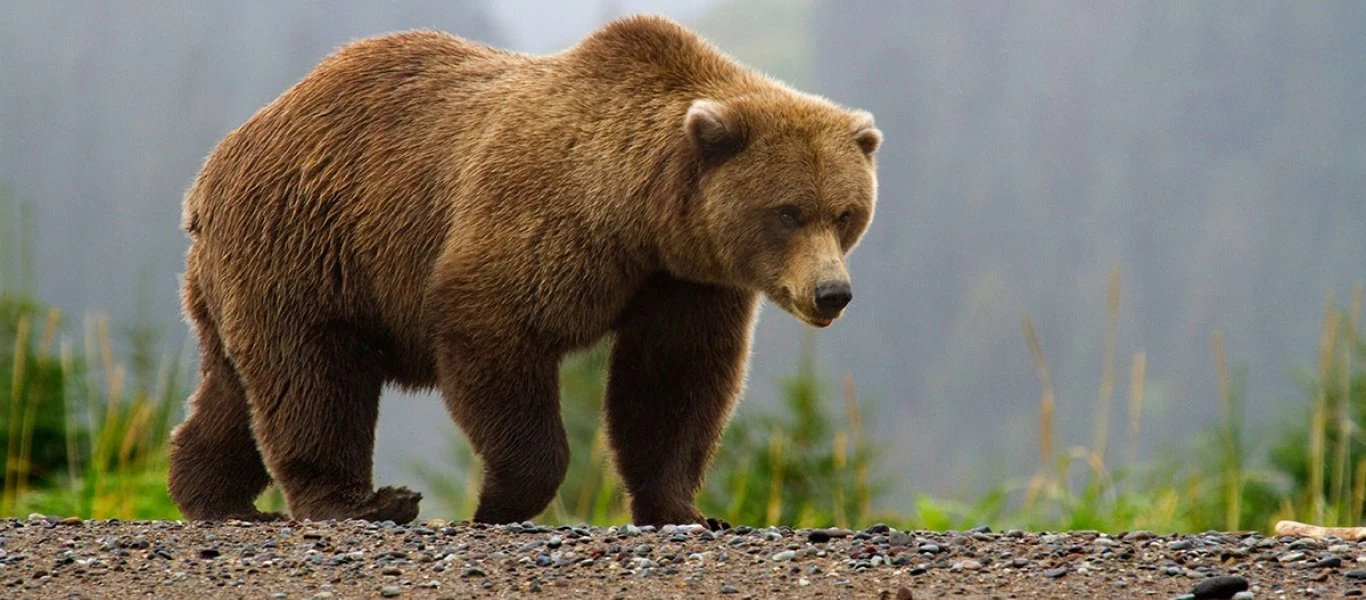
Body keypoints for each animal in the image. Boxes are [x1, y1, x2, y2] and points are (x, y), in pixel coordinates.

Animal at [165, 14, 879, 527]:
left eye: (846, 213)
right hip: (309, 245)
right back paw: (360, 502)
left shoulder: (684, 280)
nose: (832, 293)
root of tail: (212, 169)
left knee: (235, 388)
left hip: (246, 274)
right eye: (787, 212)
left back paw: (212, 495)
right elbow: (496, 329)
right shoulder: (545, 218)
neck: (642, 214)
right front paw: (499, 501)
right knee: (313, 377)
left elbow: (673, 381)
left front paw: (686, 510)